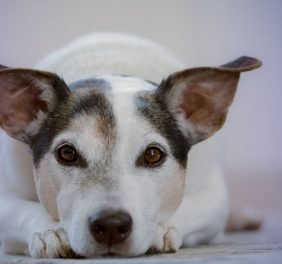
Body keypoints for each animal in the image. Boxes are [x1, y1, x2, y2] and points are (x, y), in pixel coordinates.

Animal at [0, 33, 262, 258]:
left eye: (153, 154)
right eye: (67, 153)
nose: (111, 225)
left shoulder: (214, 195)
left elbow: (190, 207)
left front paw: (160, 228)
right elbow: (22, 211)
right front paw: (50, 231)